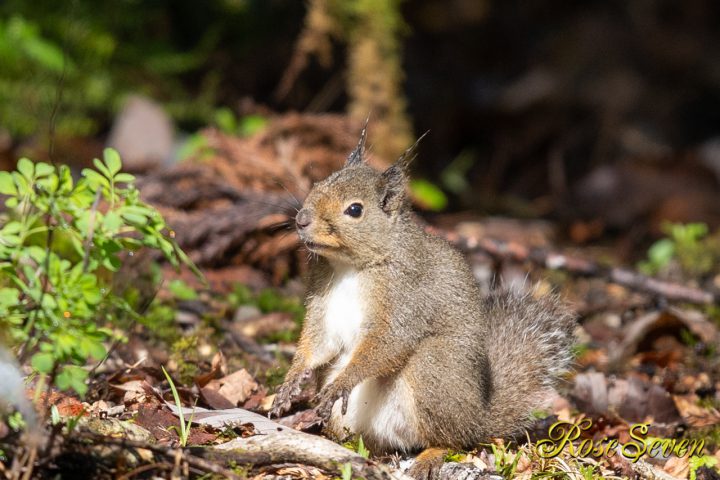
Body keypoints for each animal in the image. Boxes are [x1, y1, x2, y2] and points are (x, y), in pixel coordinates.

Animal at [268, 127, 572, 480]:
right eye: (317, 185)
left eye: (355, 210)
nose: (301, 220)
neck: (352, 265)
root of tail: (478, 418)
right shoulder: (323, 304)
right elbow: (318, 344)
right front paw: (290, 382)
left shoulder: (406, 300)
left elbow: (388, 343)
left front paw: (341, 383)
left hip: (433, 370)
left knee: (452, 439)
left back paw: (430, 454)